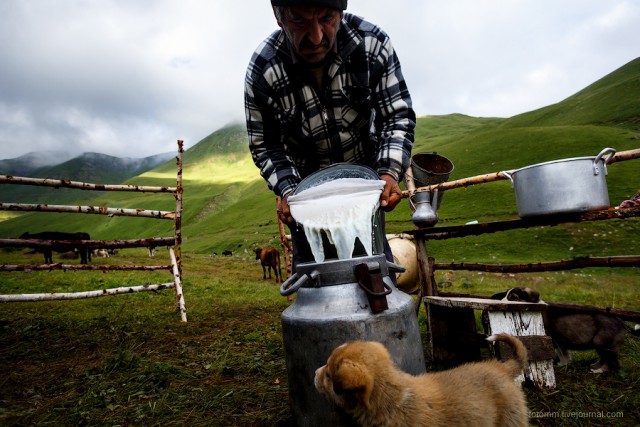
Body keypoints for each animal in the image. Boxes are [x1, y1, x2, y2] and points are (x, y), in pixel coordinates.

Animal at [492, 288, 636, 374]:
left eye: (513, 297)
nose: (499, 302)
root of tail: (622, 321)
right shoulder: (559, 342)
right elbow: (564, 354)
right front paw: (563, 364)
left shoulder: (556, 340)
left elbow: (562, 354)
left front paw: (561, 364)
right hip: (604, 344)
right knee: (606, 358)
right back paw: (595, 366)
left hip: (602, 341)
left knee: (615, 362)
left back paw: (600, 371)